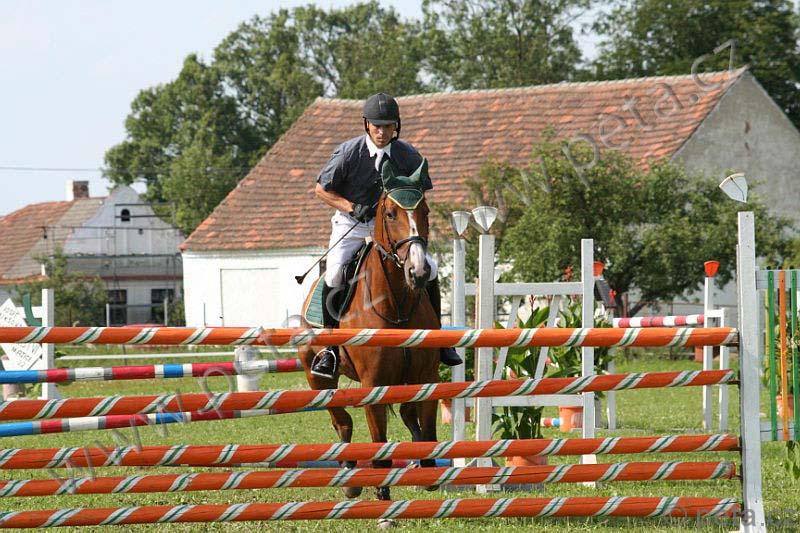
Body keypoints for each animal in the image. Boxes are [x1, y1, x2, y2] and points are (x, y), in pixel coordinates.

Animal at [299, 160, 440, 502]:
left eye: (425, 210)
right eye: (389, 213)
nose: (418, 271)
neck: (397, 305)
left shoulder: (427, 376)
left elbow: (425, 426)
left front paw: (427, 470)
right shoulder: (373, 384)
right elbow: (379, 446)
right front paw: (382, 490)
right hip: (316, 376)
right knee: (341, 422)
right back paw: (350, 478)